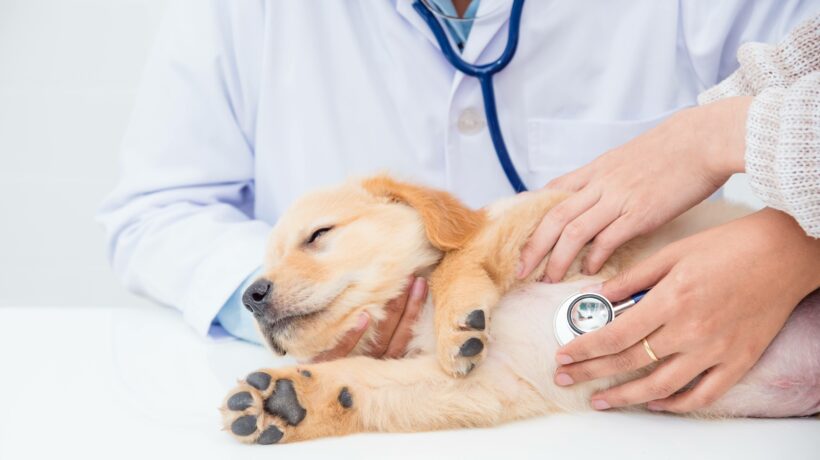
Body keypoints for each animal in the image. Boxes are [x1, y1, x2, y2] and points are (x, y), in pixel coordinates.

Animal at [218, 174, 820, 444]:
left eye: (318, 235)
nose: (250, 295)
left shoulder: (556, 225)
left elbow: (461, 256)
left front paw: (457, 316)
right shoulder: (487, 384)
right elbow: (365, 384)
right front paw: (287, 401)